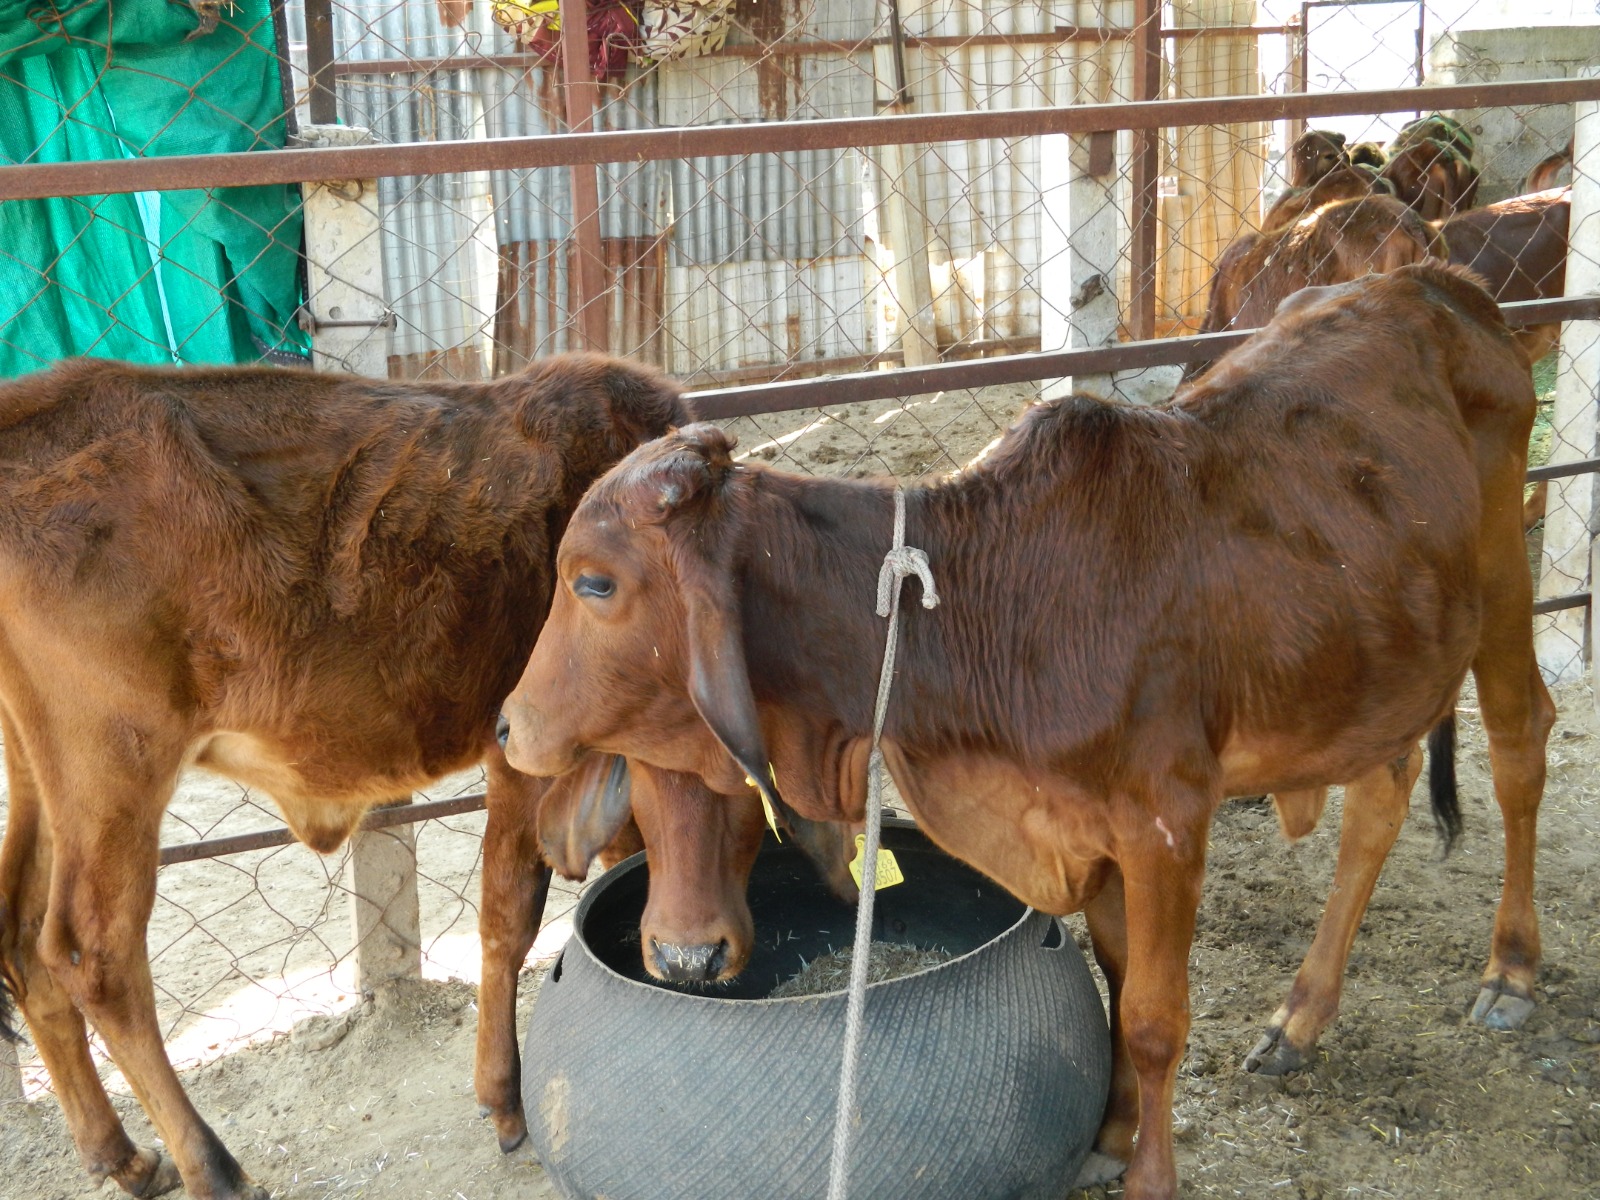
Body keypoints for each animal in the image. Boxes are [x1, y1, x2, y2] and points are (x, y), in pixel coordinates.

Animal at [0, 353, 848, 1200]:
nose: (691, 958)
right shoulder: (521, 752)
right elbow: (509, 917)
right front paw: (503, 1099)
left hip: (41, 775)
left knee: (23, 942)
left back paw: (120, 1153)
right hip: (114, 767)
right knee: (94, 956)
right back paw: (211, 1166)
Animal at [502, 263, 1553, 1200]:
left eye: (592, 581)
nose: (509, 726)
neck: (988, 605)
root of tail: (1436, 282)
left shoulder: (1168, 823)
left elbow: (1156, 1016)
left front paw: (1152, 1178)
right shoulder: (1089, 830)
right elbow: (1120, 980)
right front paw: (1110, 1138)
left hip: (1504, 578)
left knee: (1519, 744)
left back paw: (1512, 972)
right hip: (1377, 659)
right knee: (1382, 793)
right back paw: (1300, 1018)